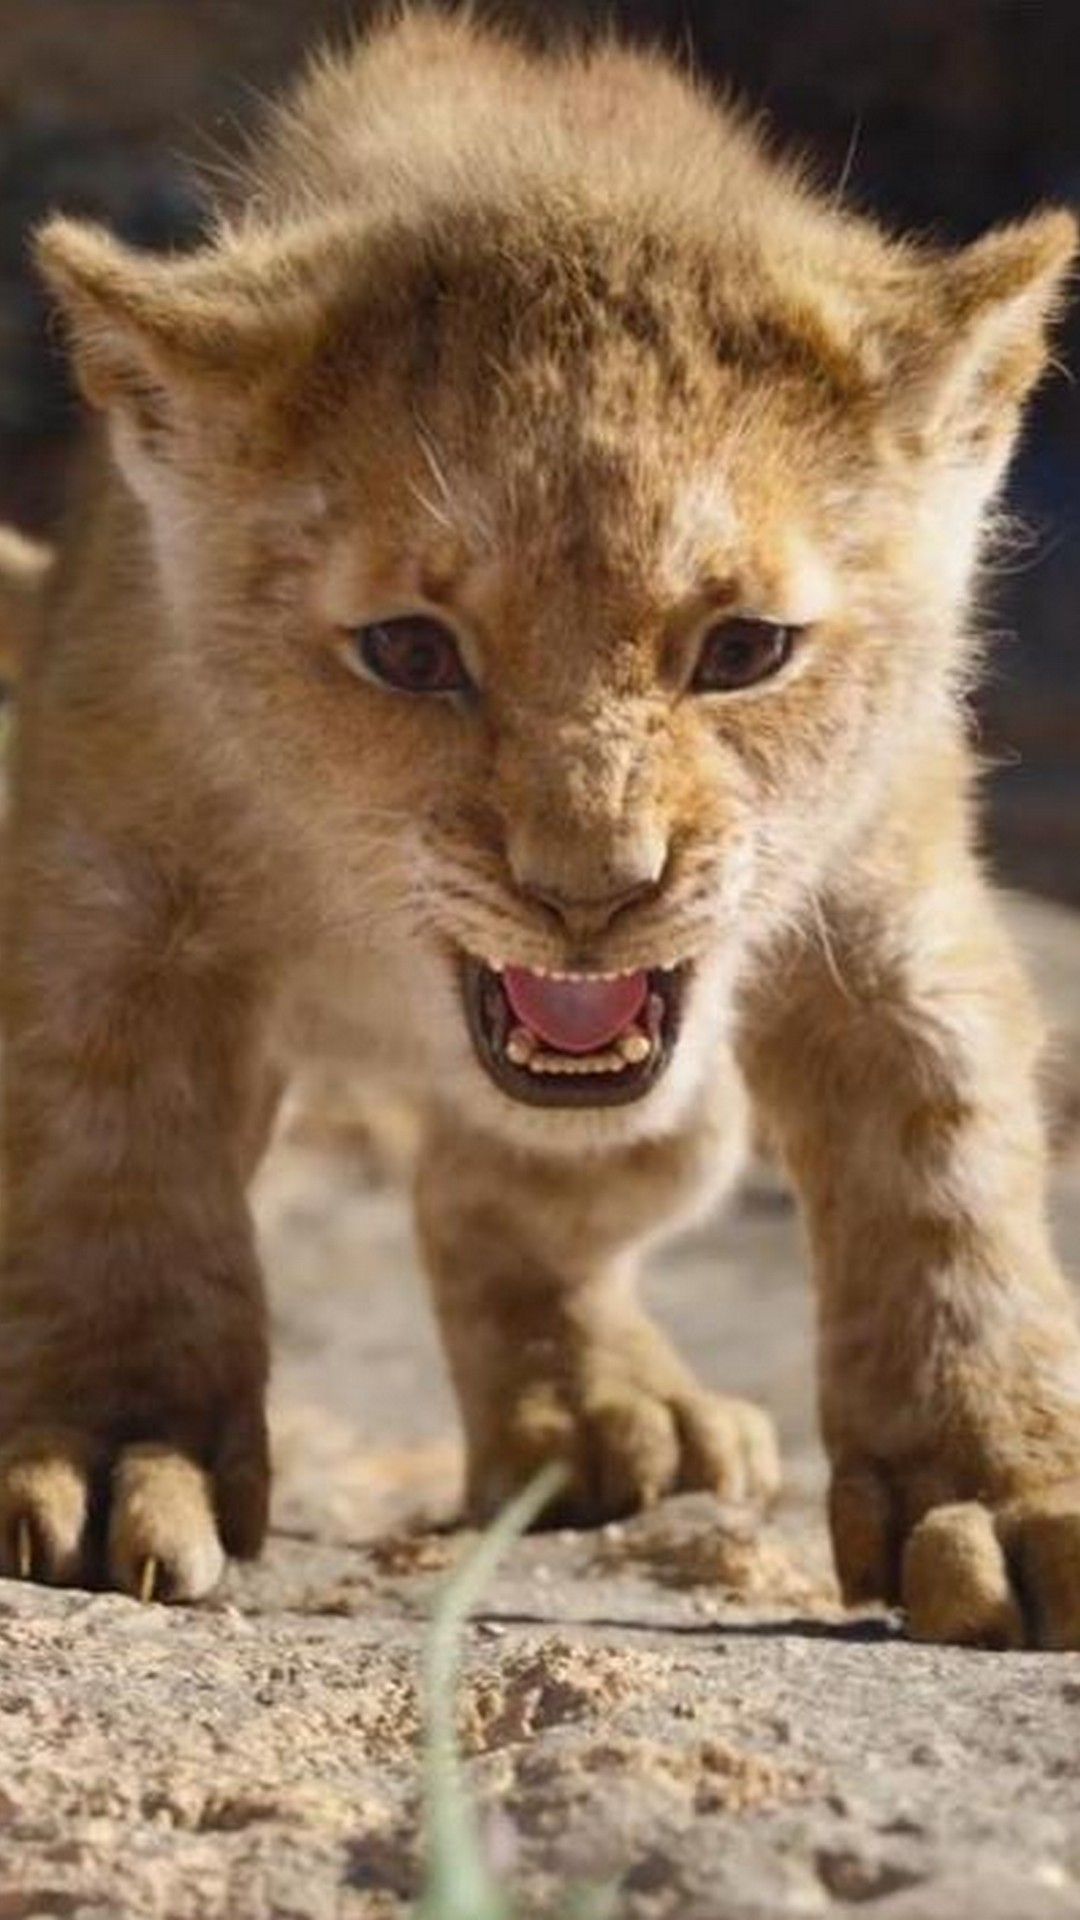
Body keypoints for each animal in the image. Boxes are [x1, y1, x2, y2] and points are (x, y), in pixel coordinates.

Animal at [1, 7, 1078, 1645]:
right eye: (409, 651)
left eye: (745, 648)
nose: (590, 893)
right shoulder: (109, 896)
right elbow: (111, 1172)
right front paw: (116, 1451)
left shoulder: (889, 901)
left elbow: (943, 1166)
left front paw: (997, 1482)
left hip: (682, 1114)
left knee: (503, 1196)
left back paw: (602, 1418)